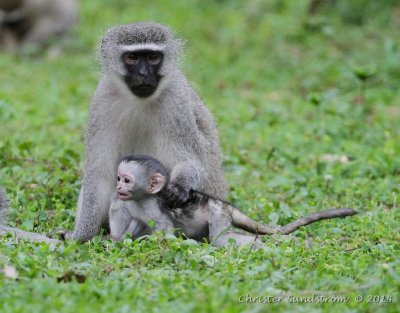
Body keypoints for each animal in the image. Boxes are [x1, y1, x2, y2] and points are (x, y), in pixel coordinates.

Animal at [69, 22, 228, 241]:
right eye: (132, 58)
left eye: (153, 57)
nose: (144, 74)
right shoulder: (102, 101)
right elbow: (99, 175)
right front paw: (81, 237)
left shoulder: (176, 101)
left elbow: (190, 160)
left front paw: (179, 185)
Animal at [108, 155, 356, 247]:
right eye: (119, 178)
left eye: (127, 180)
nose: (118, 187)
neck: (142, 198)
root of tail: (223, 205)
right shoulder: (131, 203)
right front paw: (117, 239)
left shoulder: (152, 206)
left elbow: (165, 229)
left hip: (217, 214)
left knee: (221, 239)